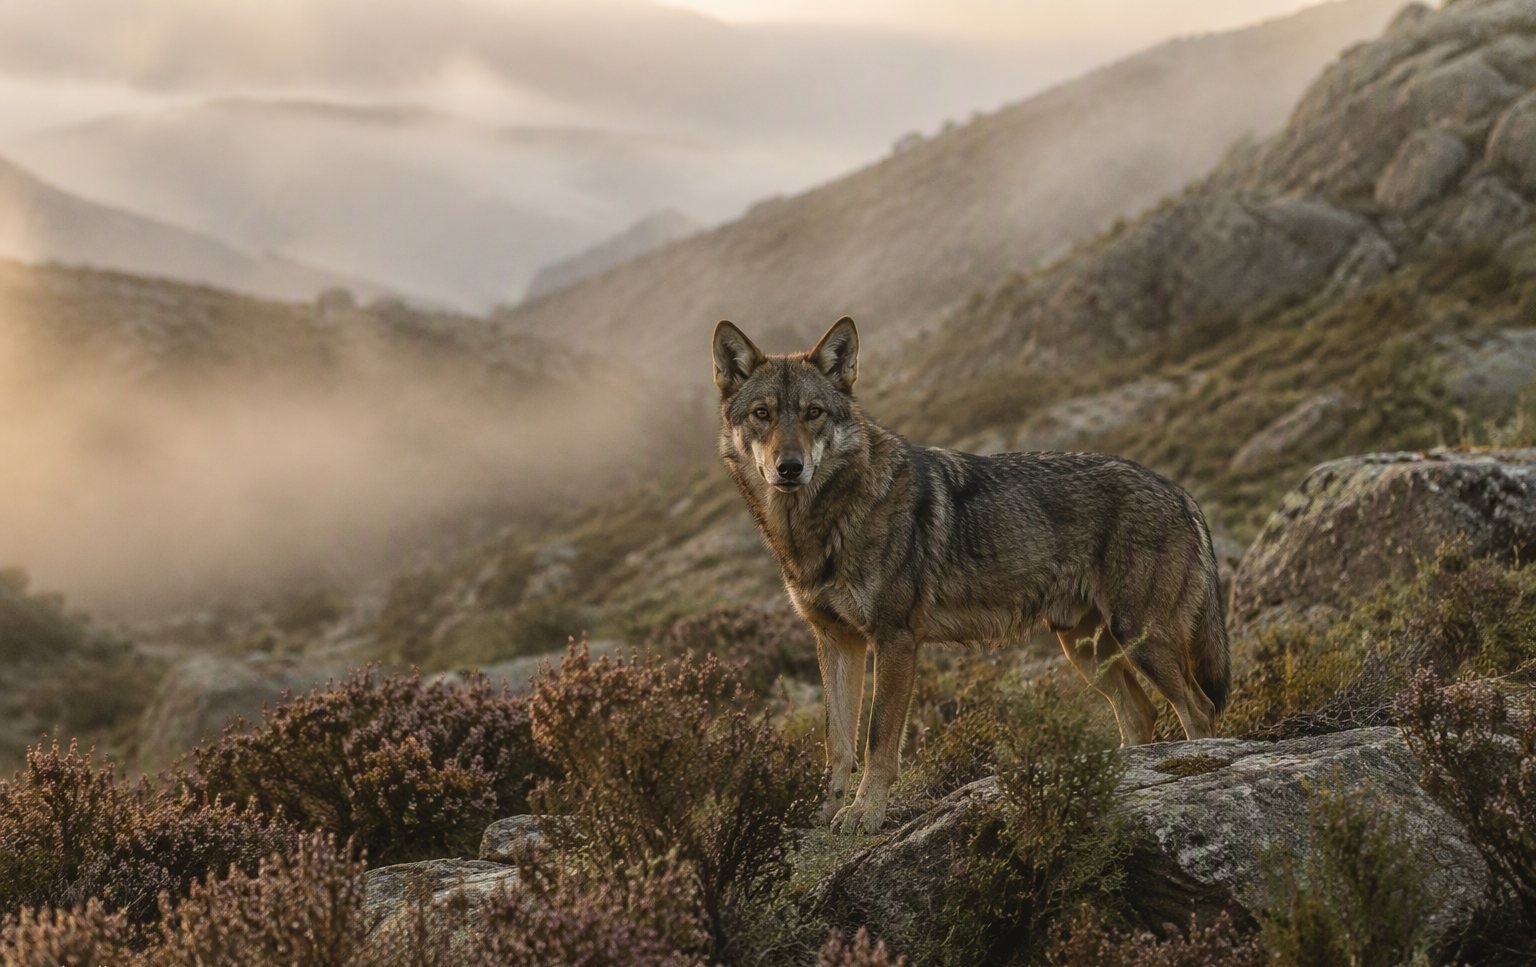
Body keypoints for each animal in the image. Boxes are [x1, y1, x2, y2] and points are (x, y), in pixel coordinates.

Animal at [712, 316, 1231, 834]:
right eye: (762, 414)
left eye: (813, 412)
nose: (790, 467)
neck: (821, 524)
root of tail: (1179, 491)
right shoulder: (837, 641)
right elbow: (836, 740)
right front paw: (824, 814)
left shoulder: (894, 640)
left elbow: (877, 739)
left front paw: (864, 812)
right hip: (1085, 650)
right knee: (1140, 713)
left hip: (1140, 641)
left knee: (1198, 710)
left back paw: (1193, 764)